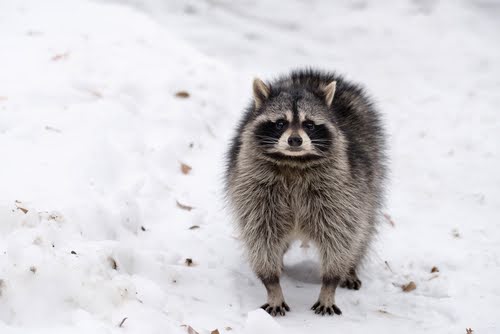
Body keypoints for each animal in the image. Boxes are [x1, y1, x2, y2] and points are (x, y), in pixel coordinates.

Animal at [226, 70, 386, 316]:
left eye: (309, 124)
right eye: (280, 123)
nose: (295, 140)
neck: (293, 162)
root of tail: (313, 74)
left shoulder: (341, 191)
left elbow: (341, 235)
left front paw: (330, 284)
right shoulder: (253, 188)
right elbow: (261, 235)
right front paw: (272, 285)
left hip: (370, 180)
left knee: (363, 230)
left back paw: (351, 267)